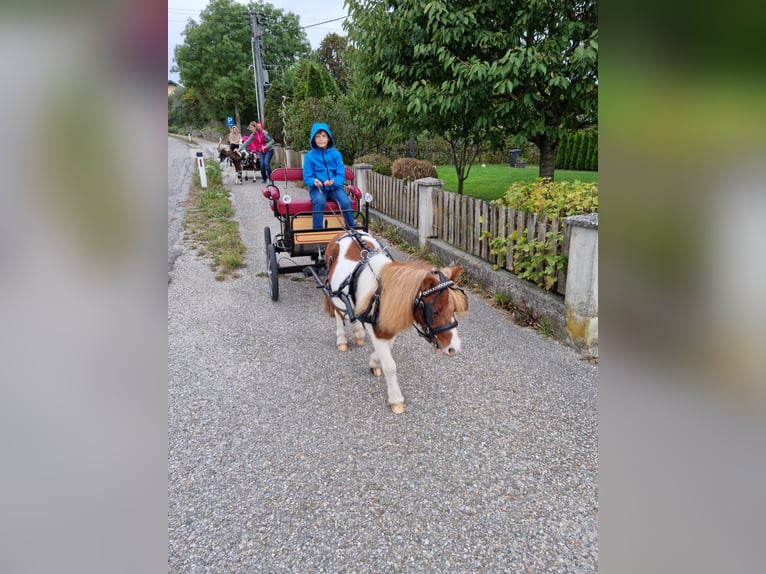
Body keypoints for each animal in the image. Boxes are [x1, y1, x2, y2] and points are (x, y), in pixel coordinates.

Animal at [322, 230, 472, 414]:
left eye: (453, 309)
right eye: (435, 311)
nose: (454, 348)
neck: (380, 295)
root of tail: (344, 232)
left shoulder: (389, 325)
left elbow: (386, 350)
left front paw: (374, 362)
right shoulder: (377, 330)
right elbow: (390, 365)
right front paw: (395, 399)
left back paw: (358, 333)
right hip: (334, 293)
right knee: (338, 314)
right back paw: (341, 339)